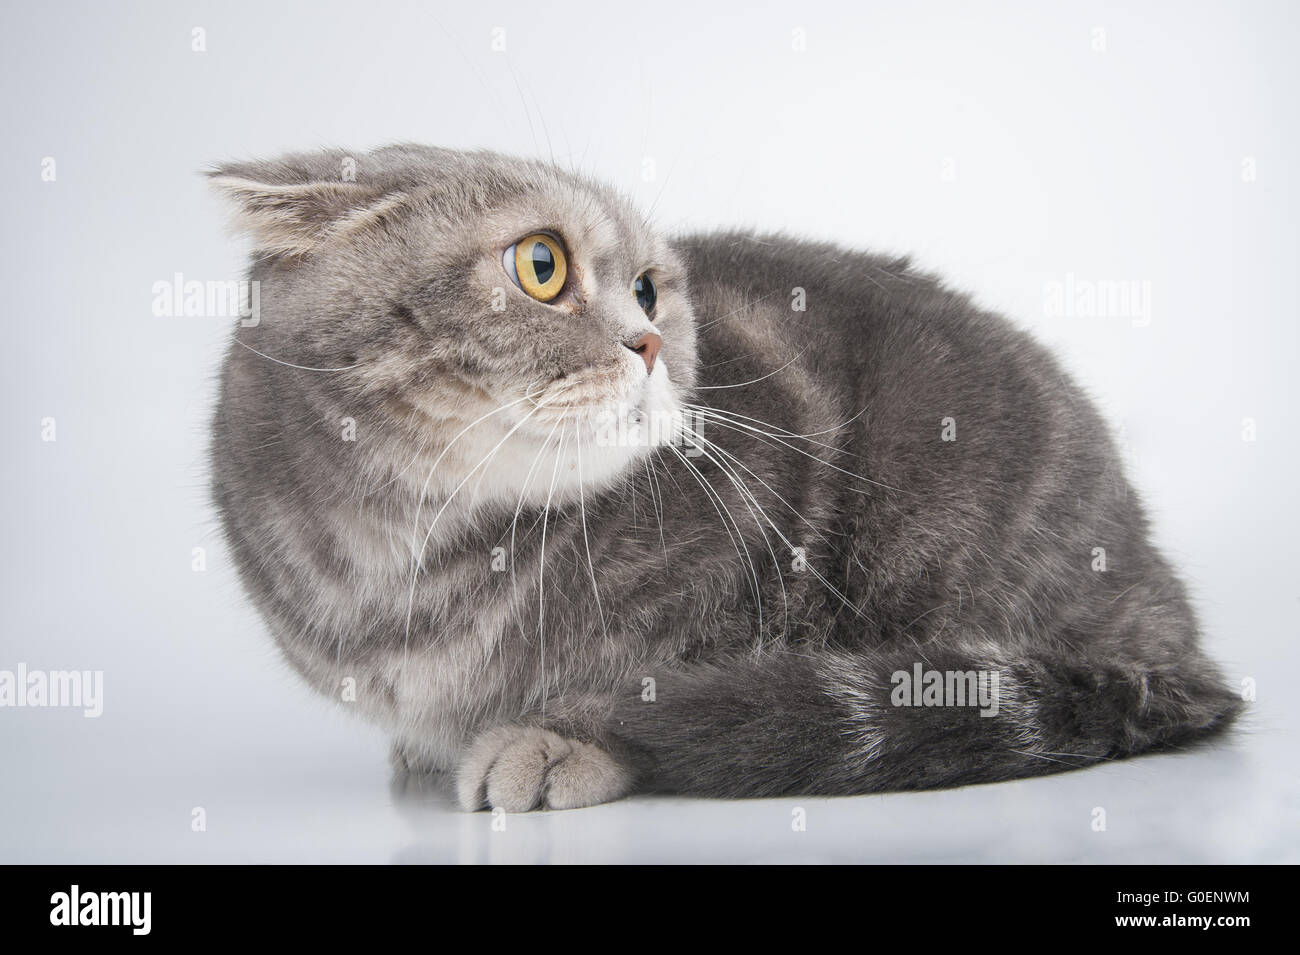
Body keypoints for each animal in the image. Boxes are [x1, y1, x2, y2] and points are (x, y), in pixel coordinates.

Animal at [205, 145, 1237, 810]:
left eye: (650, 290)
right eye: (541, 264)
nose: (651, 342)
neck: (406, 561)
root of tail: (1167, 617)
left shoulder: (744, 569)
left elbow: (645, 681)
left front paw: (560, 738)